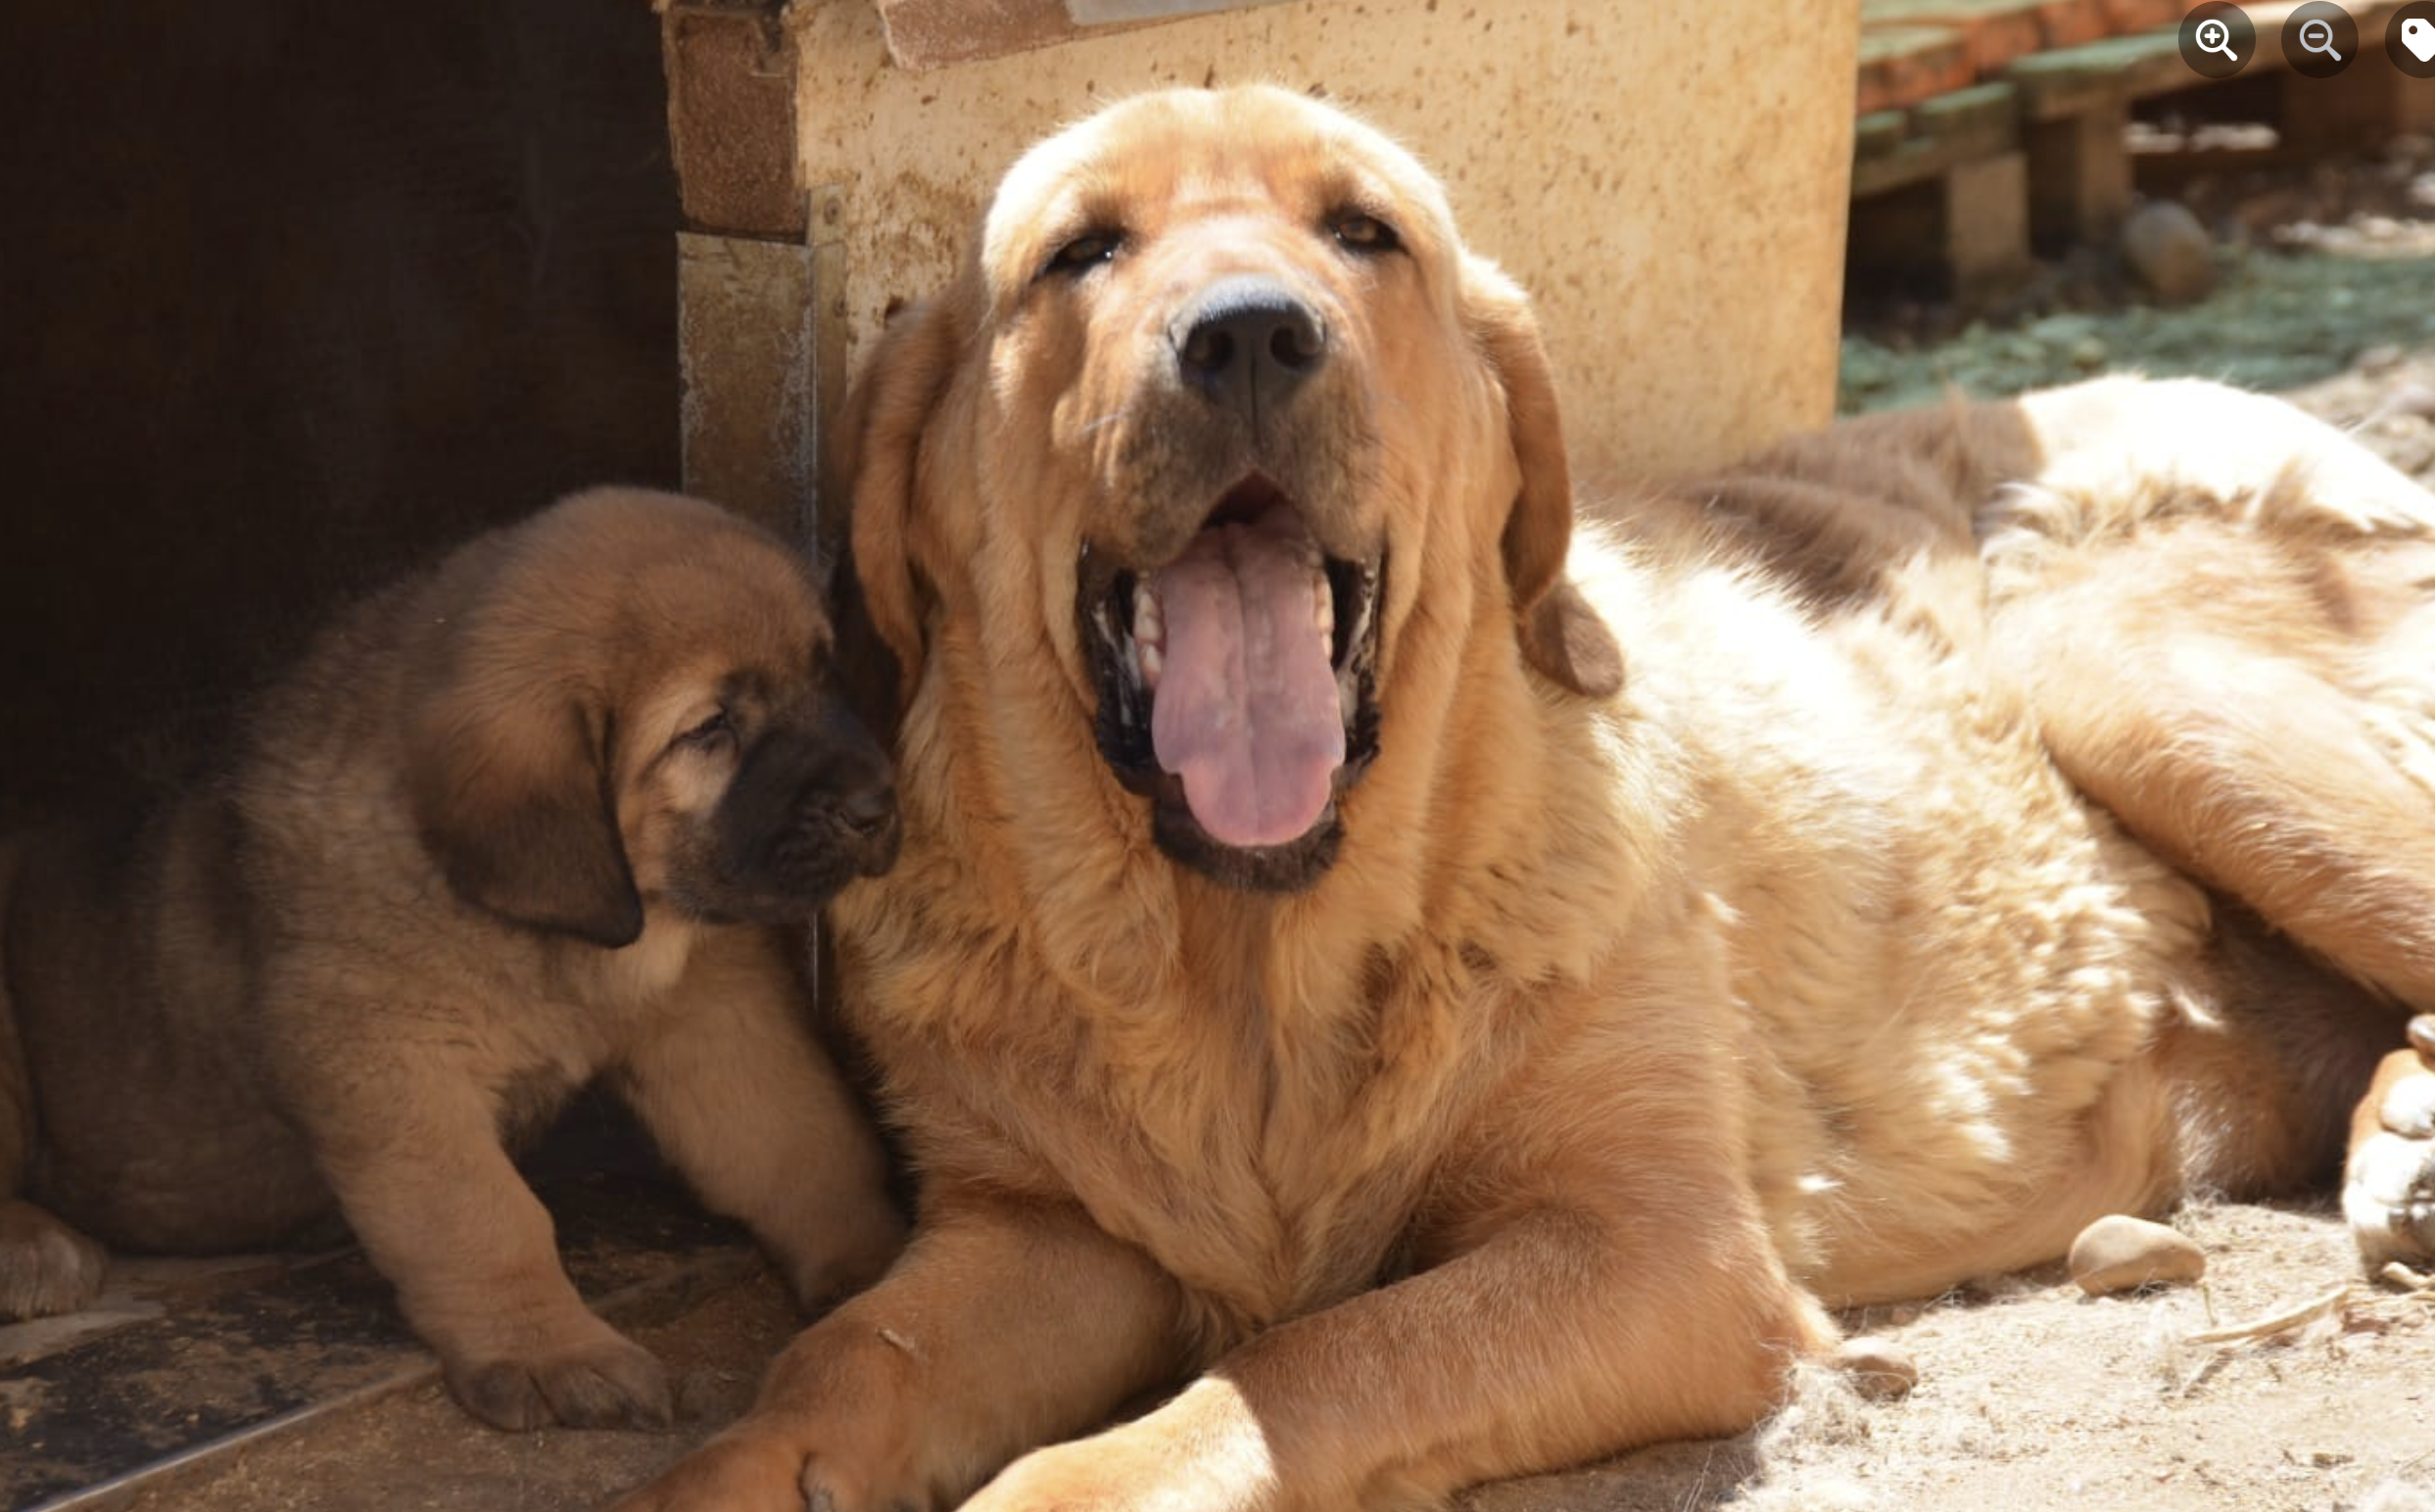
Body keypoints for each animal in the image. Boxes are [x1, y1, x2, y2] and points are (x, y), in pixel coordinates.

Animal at [0, 492, 910, 1431]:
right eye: (710, 730)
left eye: (828, 676)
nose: (878, 804)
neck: (557, 941)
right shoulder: (393, 1064)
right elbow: (485, 1217)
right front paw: (550, 1350)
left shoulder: (718, 1015)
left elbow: (802, 1139)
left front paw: (879, 1271)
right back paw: (33, 1247)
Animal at [618, 88, 2435, 1509]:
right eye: (1080, 251)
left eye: (1362, 234)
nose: (1250, 333)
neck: (1249, 975)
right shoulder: (1044, 1231)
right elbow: (843, 1355)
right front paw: (722, 1469)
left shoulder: (1660, 1256)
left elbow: (1309, 1359)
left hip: (2114, 667)